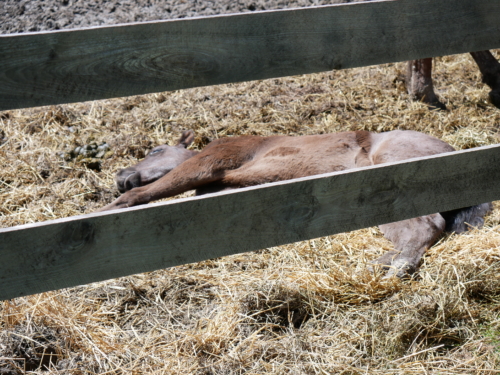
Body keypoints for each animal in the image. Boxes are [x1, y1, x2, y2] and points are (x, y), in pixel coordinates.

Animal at [99, 131, 490, 278]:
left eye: (155, 150)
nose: (122, 175)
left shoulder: (209, 164)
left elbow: (147, 193)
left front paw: (105, 212)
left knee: (428, 225)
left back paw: (393, 268)